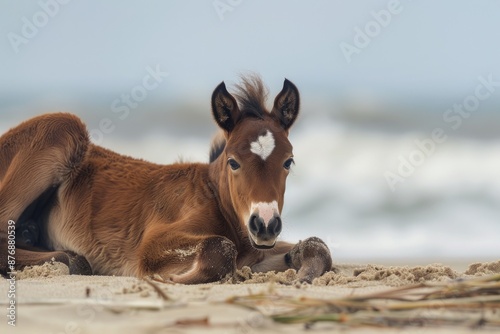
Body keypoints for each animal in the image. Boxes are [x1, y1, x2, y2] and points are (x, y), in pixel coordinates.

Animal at [1, 77, 334, 284]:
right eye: (233, 162)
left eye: (288, 161)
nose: (264, 224)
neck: (216, 199)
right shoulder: (152, 244)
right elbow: (220, 246)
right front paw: (173, 279)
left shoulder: (256, 253)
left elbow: (318, 246)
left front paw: (301, 273)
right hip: (63, 128)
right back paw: (69, 259)